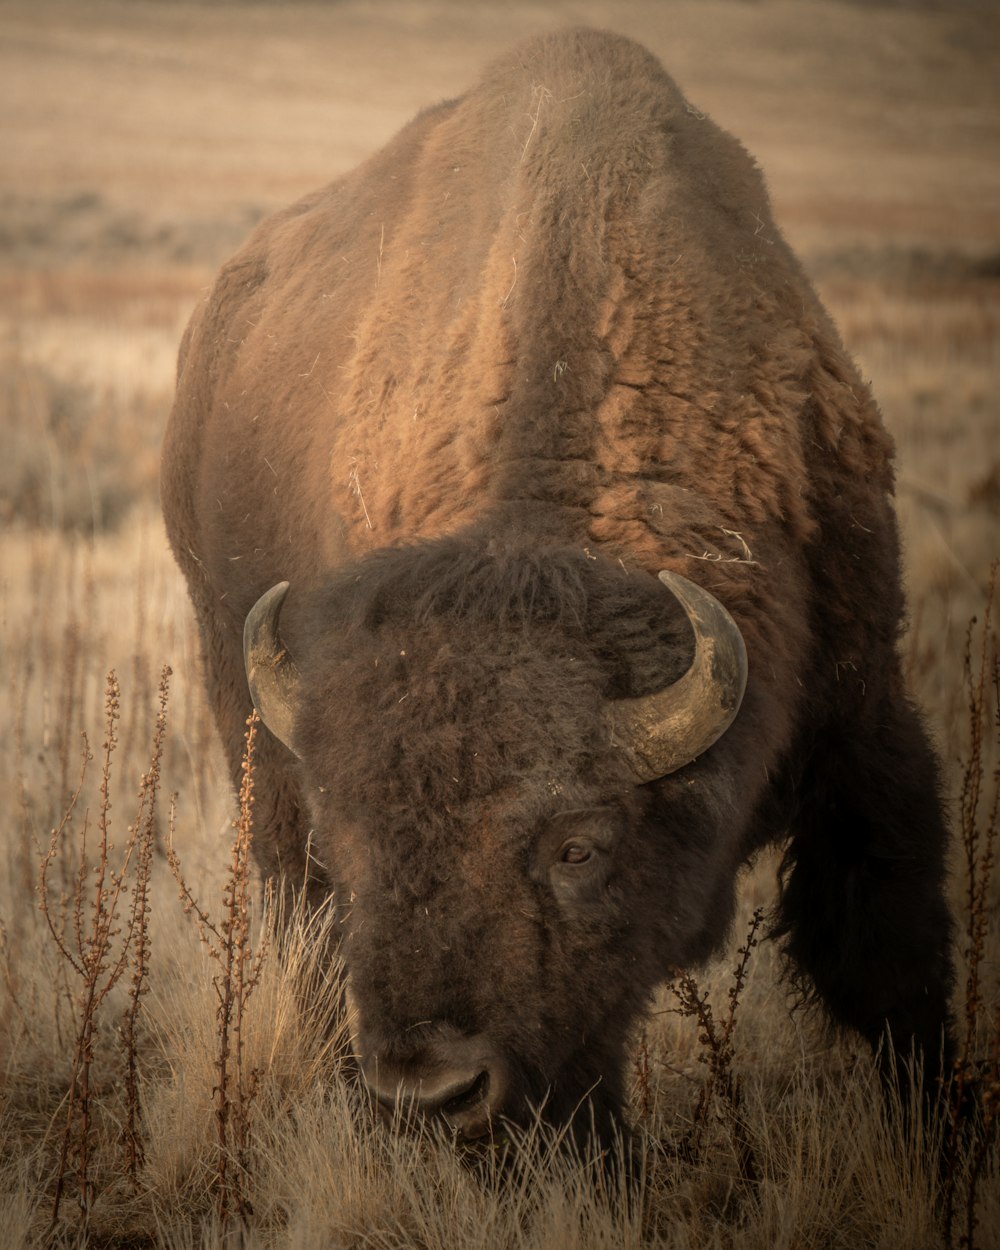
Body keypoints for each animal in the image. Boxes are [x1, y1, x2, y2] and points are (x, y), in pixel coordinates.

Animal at [162, 29, 955, 1145]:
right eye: (352, 836)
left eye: (577, 848)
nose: (429, 1091)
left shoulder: (864, 706)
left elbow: (884, 954)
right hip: (242, 718)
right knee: (300, 924)